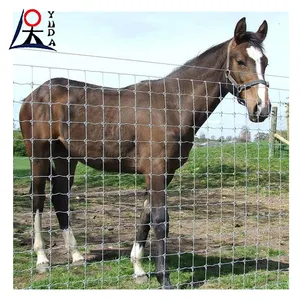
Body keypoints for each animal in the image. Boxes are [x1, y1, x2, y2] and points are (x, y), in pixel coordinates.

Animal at [19, 17, 272, 288]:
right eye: (240, 60)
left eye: (265, 62)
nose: (261, 109)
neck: (172, 105)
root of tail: (33, 95)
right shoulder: (157, 171)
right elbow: (161, 220)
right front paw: (165, 279)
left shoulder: (164, 173)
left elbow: (146, 218)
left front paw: (139, 269)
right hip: (39, 155)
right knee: (38, 198)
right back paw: (42, 259)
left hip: (66, 159)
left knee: (60, 198)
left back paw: (77, 256)